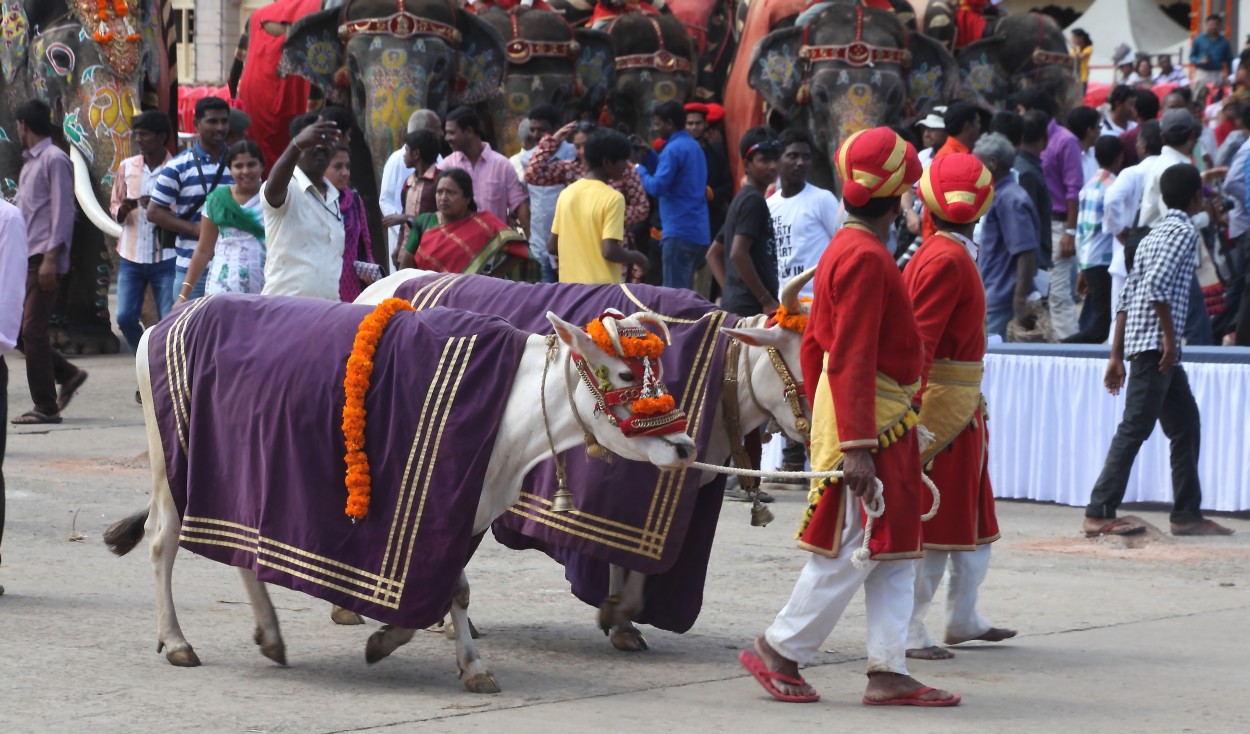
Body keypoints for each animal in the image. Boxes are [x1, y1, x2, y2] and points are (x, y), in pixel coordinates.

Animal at [102, 310, 700, 695]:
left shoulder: (467, 511)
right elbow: (440, 592)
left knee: (244, 555)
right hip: (170, 469)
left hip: (240, 479)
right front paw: (389, 640)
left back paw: (270, 636)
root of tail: (164, 323)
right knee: (161, 544)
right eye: (625, 373)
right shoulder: (437, 508)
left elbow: (456, 589)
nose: (686, 447)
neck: (512, 415)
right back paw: (176, 641)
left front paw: (467, 664)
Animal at [357, 272, 815, 650]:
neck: (726, 379)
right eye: (810, 357)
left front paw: (623, 617)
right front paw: (620, 614)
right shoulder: (619, 491)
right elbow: (623, 554)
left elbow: (639, 560)